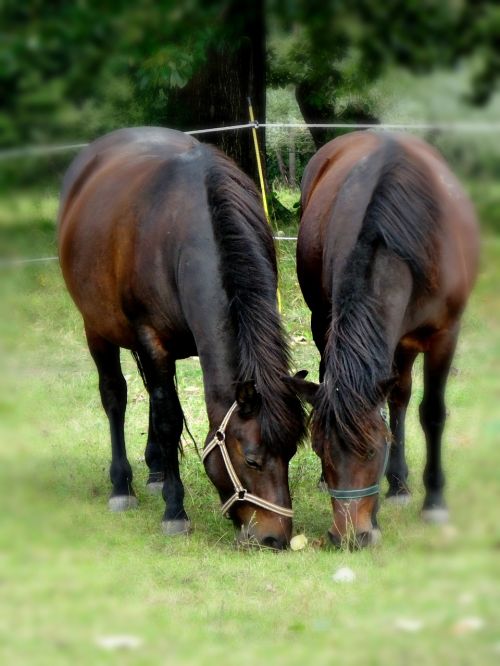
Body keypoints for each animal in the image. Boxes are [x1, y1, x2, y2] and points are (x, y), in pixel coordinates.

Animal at [58, 127, 304, 548]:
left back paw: (156, 470)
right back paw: (122, 486)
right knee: (115, 396)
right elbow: (169, 419)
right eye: (251, 459)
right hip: (98, 329)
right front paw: (175, 511)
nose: (274, 539)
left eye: (291, 454)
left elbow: (162, 411)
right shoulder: (151, 339)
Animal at [290, 130, 480, 544]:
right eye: (320, 449)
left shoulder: (444, 335)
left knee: (401, 398)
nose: (348, 536)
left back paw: (403, 486)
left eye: (371, 451)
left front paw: (434, 501)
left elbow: (432, 412)